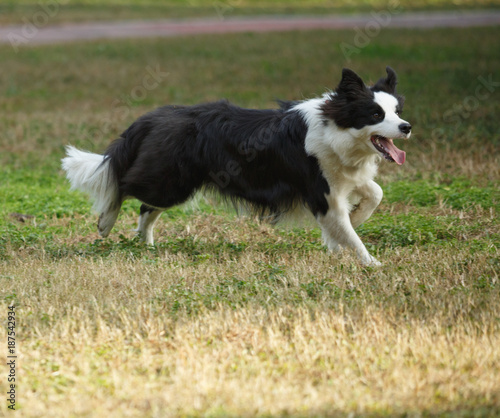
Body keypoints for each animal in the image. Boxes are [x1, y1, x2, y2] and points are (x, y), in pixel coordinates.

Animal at [63, 67, 410, 266]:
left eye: (397, 111)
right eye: (375, 114)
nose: (406, 127)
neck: (336, 127)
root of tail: (150, 118)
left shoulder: (341, 178)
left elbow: (374, 194)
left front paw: (353, 222)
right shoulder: (321, 192)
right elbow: (350, 233)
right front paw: (371, 263)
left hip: (175, 182)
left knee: (145, 206)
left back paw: (145, 244)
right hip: (169, 180)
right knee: (121, 182)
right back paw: (106, 222)